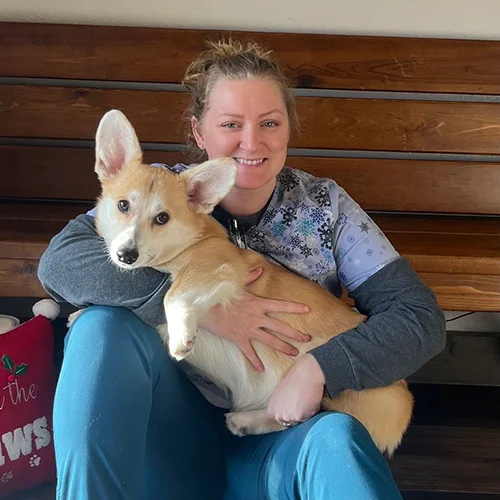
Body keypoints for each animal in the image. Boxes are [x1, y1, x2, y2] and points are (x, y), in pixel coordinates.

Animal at [92, 109, 412, 458]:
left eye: (162, 218)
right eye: (123, 205)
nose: (126, 255)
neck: (180, 249)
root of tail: (406, 400)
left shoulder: (217, 265)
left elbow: (173, 294)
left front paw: (180, 337)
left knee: (311, 412)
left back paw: (249, 419)